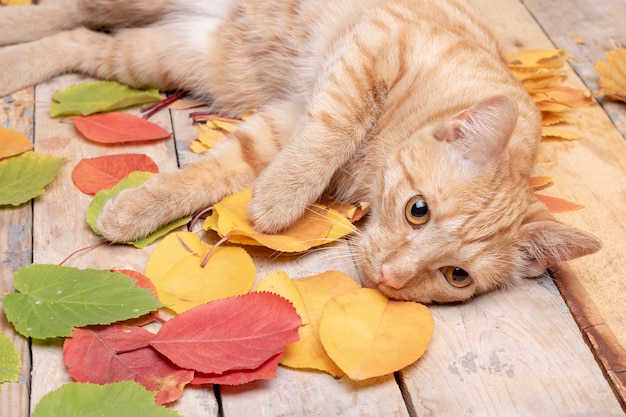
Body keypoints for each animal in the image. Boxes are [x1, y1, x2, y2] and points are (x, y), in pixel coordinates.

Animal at [0, 0, 600, 302]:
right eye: (418, 210)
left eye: (457, 276)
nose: (392, 278)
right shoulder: (371, 48)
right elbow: (336, 127)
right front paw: (282, 199)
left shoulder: (284, 120)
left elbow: (222, 170)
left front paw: (137, 208)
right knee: (65, 11)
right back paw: (11, 29)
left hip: (168, 56)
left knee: (82, 38)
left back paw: (17, 57)